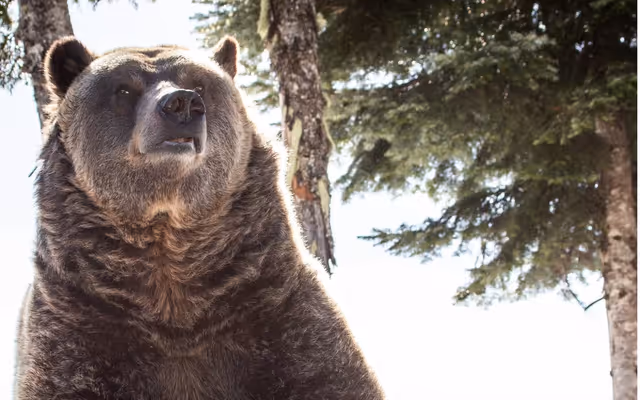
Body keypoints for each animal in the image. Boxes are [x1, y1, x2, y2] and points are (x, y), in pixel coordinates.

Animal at [13, 36, 386, 400]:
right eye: (125, 89)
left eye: (199, 84)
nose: (182, 104)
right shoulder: (80, 323)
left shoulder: (278, 310)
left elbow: (329, 375)